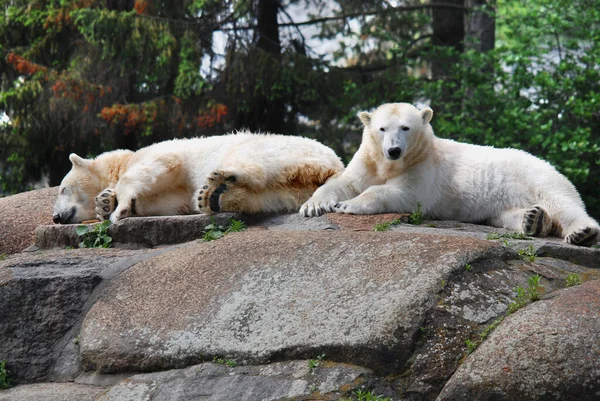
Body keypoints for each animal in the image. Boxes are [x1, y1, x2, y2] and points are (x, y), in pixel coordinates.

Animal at [54, 132, 344, 223]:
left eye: (63, 189)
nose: (56, 217)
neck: (122, 161)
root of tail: (334, 164)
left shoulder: (160, 154)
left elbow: (158, 166)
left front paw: (117, 208)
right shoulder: (175, 192)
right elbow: (169, 202)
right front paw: (105, 202)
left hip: (273, 149)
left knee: (251, 161)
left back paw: (218, 181)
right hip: (294, 188)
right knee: (272, 196)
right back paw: (212, 197)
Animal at [300, 101, 600, 245]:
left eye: (406, 128)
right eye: (382, 129)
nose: (394, 150)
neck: (391, 164)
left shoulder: (424, 166)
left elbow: (405, 193)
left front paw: (347, 205)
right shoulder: (369, 159)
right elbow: (347, 181)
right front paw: (314, 205)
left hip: (536, 177)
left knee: (563, 202)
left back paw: (581, 232)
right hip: (505, 202)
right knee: (505, 215)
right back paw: (533, 220)